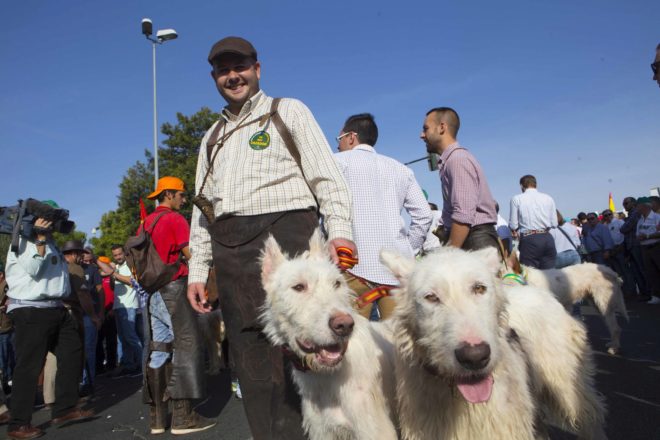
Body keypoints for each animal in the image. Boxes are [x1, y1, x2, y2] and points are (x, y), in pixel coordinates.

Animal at [260, 230, 398, 440]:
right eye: (298, 287)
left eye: (337, 283)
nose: (344, 325)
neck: (326, 376)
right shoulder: (323, 431)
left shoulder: (375, 431)